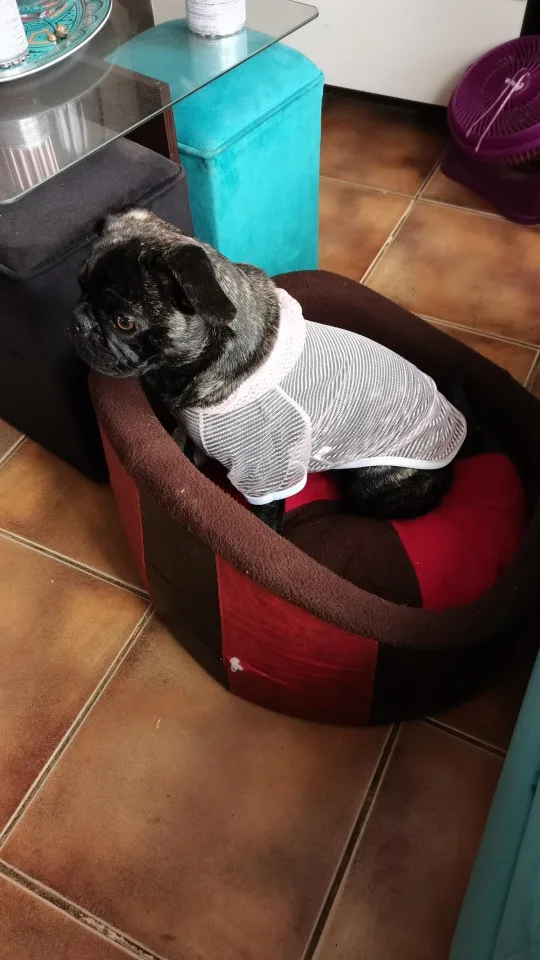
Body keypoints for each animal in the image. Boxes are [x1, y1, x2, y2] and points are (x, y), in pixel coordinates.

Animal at [72, 209, 468, 532]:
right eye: (79, 287)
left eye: (124, 322)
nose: (79, 319)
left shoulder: (266, 474)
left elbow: (264, 522)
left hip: (370, 489)